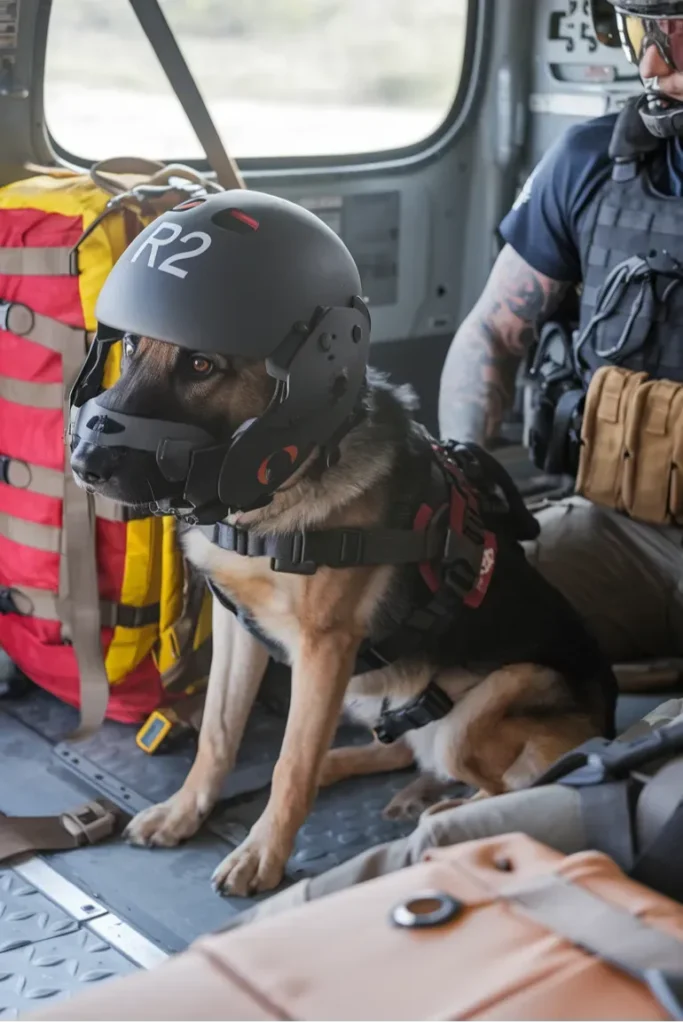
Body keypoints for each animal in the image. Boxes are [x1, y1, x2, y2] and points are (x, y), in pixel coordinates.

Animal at [72, 337, 618, 897]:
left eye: (201, 365)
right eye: (130, 344)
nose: (83, 462)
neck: (275, 495)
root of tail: (608, 723)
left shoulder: (323, 648)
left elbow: (292, 766)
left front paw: (262, 853)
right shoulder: (237, 628)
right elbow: (218, 735)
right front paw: (183, 811)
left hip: (485, 706)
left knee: (517, 781)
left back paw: (445, 810)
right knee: (399, 749)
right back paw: (339, 765)